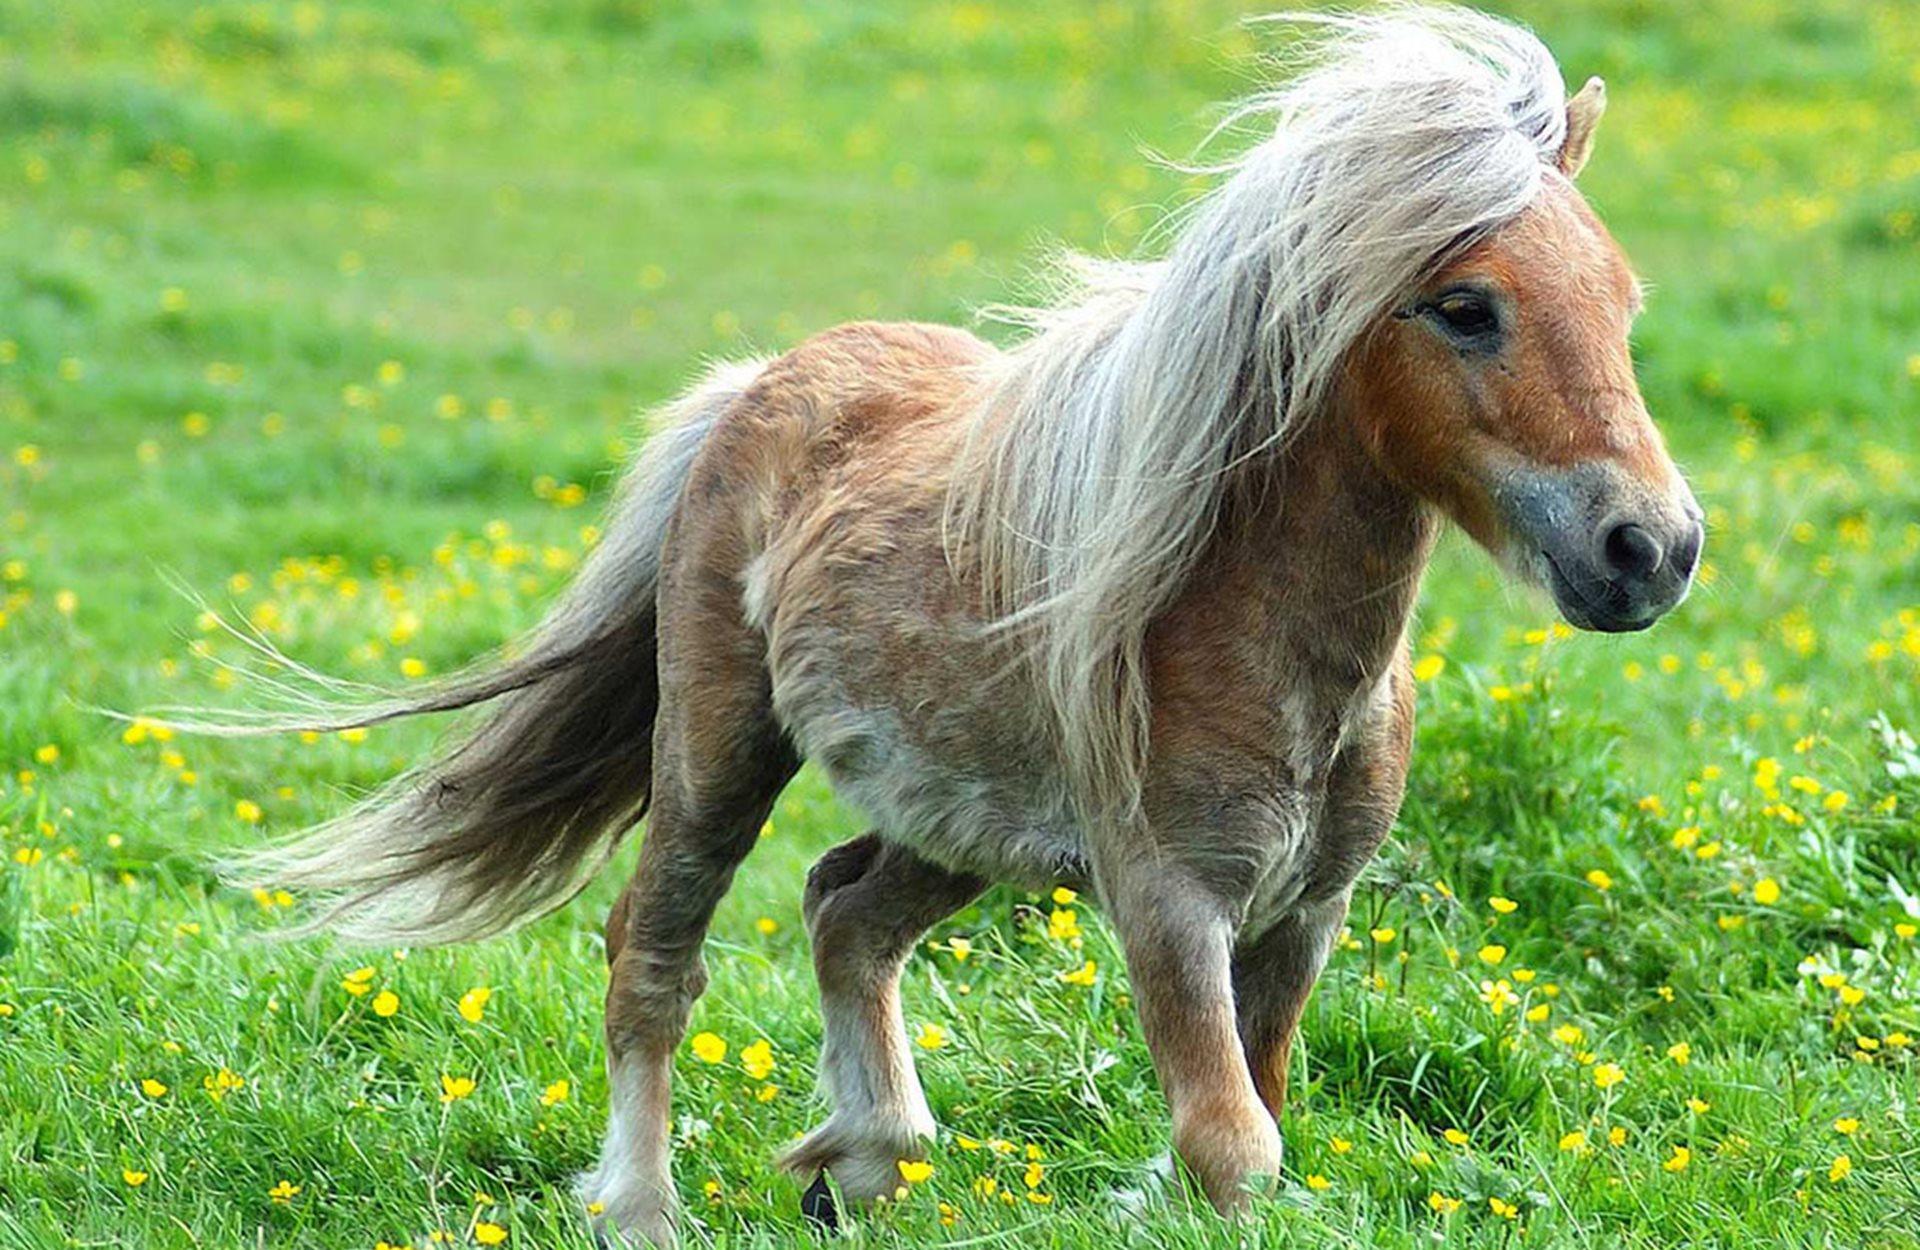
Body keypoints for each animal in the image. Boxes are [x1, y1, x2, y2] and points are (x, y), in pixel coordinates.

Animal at [205, 8, 1702, 1245]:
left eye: (1627, 302)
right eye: (1464, 306)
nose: (1651, 549)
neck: (1262, 640)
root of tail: (761, 381)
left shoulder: (1303, 915)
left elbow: (1257, 1120)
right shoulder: (1170, 902)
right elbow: (1234, 1146)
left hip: (956, 819)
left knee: (844, 912)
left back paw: (860, 1158)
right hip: (718, 755)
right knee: (654, 952)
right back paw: (642, 1206)